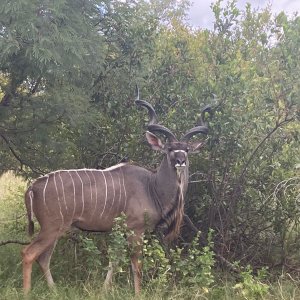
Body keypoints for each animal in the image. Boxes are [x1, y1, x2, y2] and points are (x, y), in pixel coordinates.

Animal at [21, 97, 209, 294]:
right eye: (170, 148)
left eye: (186, 149)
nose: (181, 161)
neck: (152, 186)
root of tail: (33, 186)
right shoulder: (136, 229)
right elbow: (136, 264)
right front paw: (138, 294)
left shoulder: (122, 231)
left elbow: (114, 260)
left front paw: (104, 290)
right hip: (52, 227)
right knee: (28, 253)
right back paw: (26, 292)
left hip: (57, 229)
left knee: (43, 258)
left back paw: (55, 291)